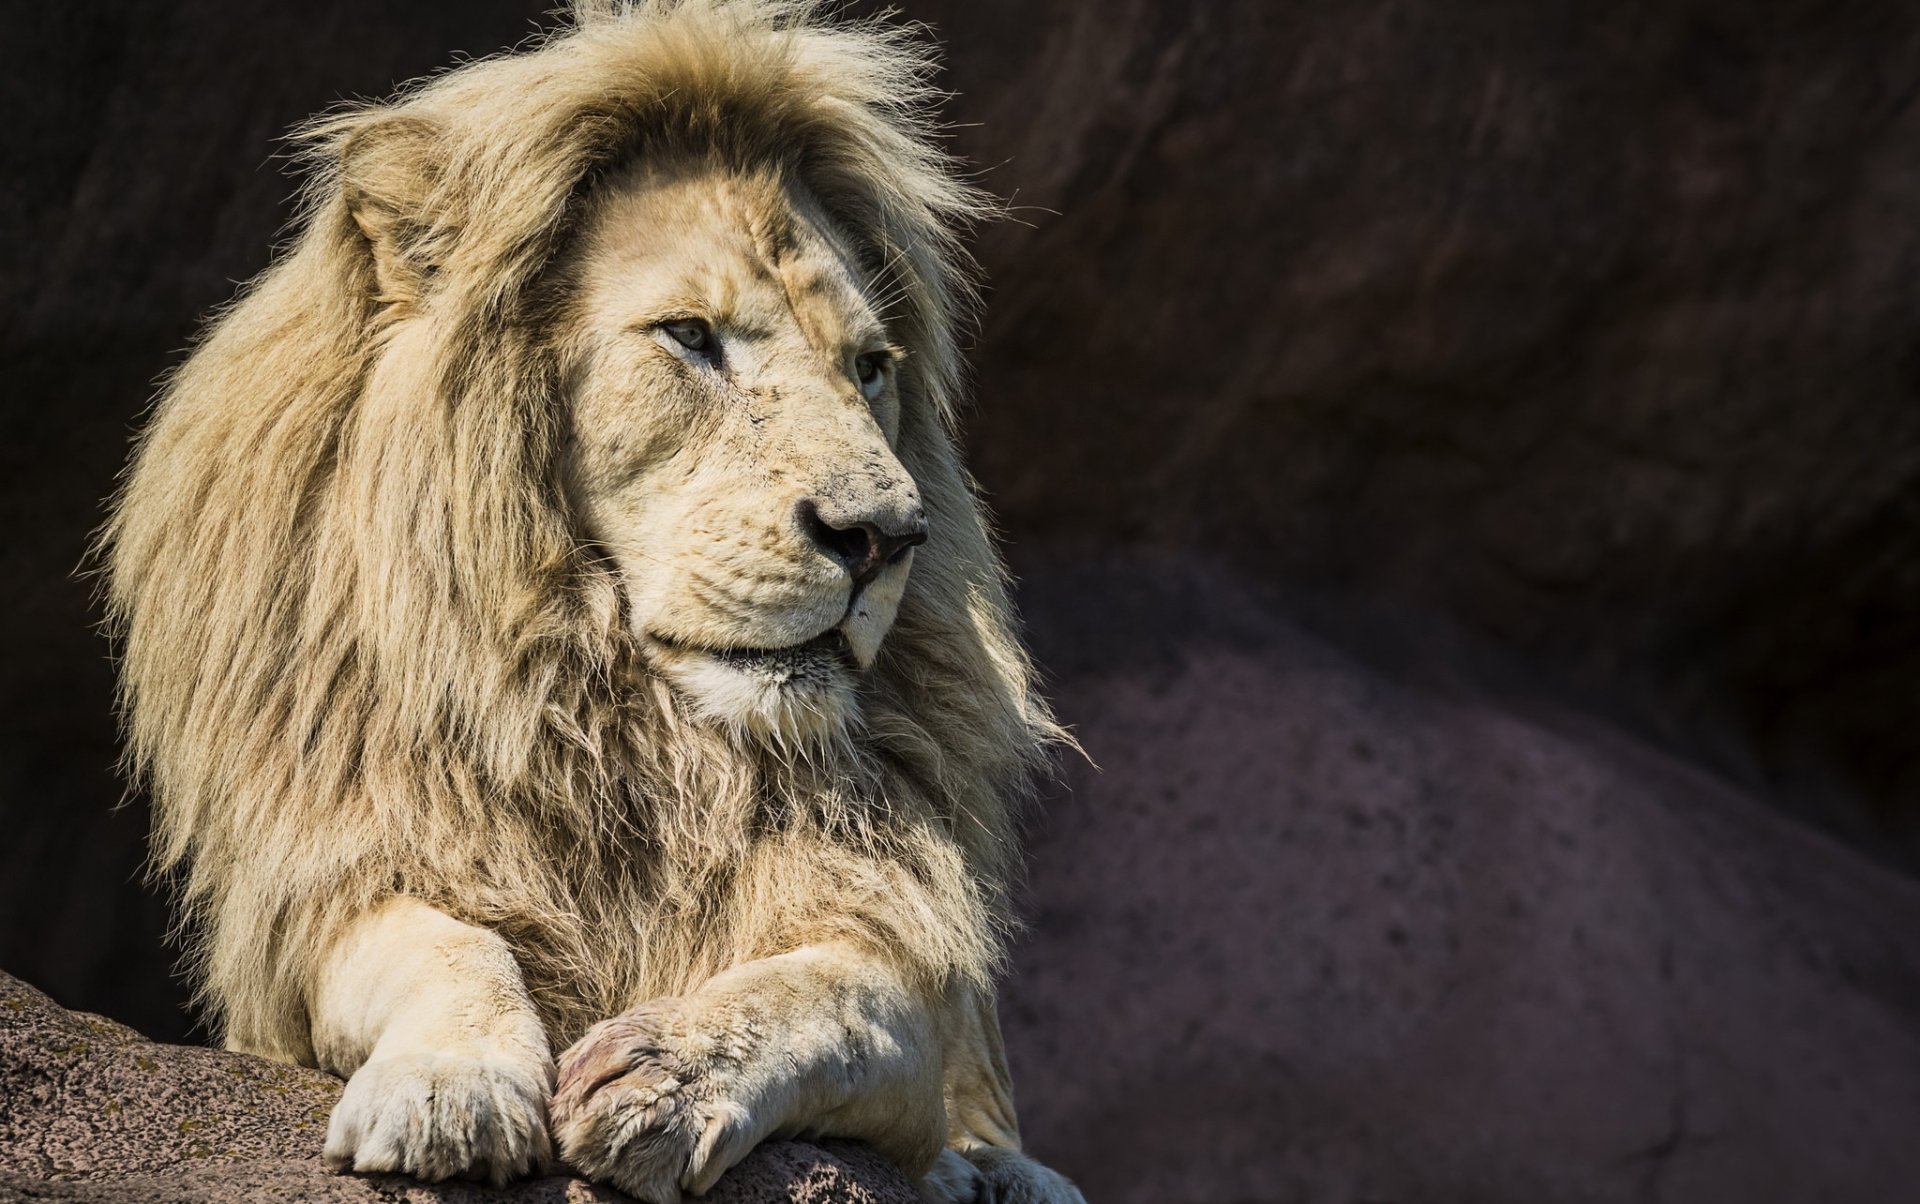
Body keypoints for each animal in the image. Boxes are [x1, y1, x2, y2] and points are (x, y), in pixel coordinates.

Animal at [98, 3, 1081, 1201]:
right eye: (691, 337)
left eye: (868, 367)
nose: (885, 536)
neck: (625, 720)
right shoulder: (324, 904)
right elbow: (446, 945)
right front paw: (449, 1090)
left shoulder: (905, 968)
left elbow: (843, 990)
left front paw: (670, 1074)